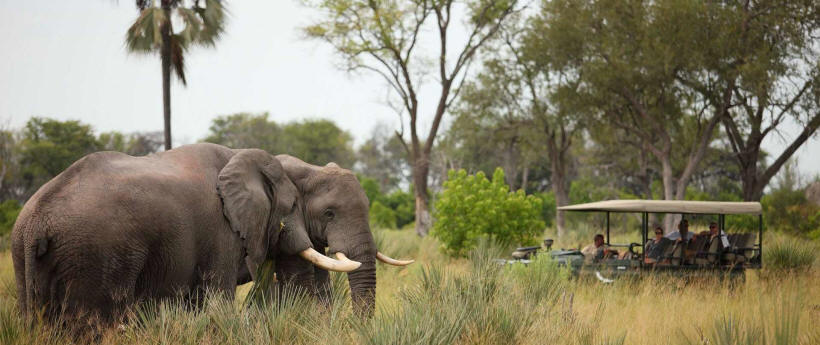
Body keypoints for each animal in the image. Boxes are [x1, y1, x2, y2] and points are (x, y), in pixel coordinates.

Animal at [9, 142, 360, 328]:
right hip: (94, 254)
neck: (238, 155)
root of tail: (36, 222)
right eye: (293, 206)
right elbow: (217, 300)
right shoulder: (220, 232)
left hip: (24, 255)